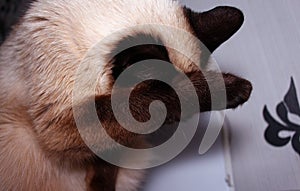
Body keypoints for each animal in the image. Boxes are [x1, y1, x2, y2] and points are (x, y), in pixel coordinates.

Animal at [0, 0, 251, 191]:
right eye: (171, 116)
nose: (172, 127)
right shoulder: (62, 125)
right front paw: (237, 88)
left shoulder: (111, 140)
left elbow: (106, 163)